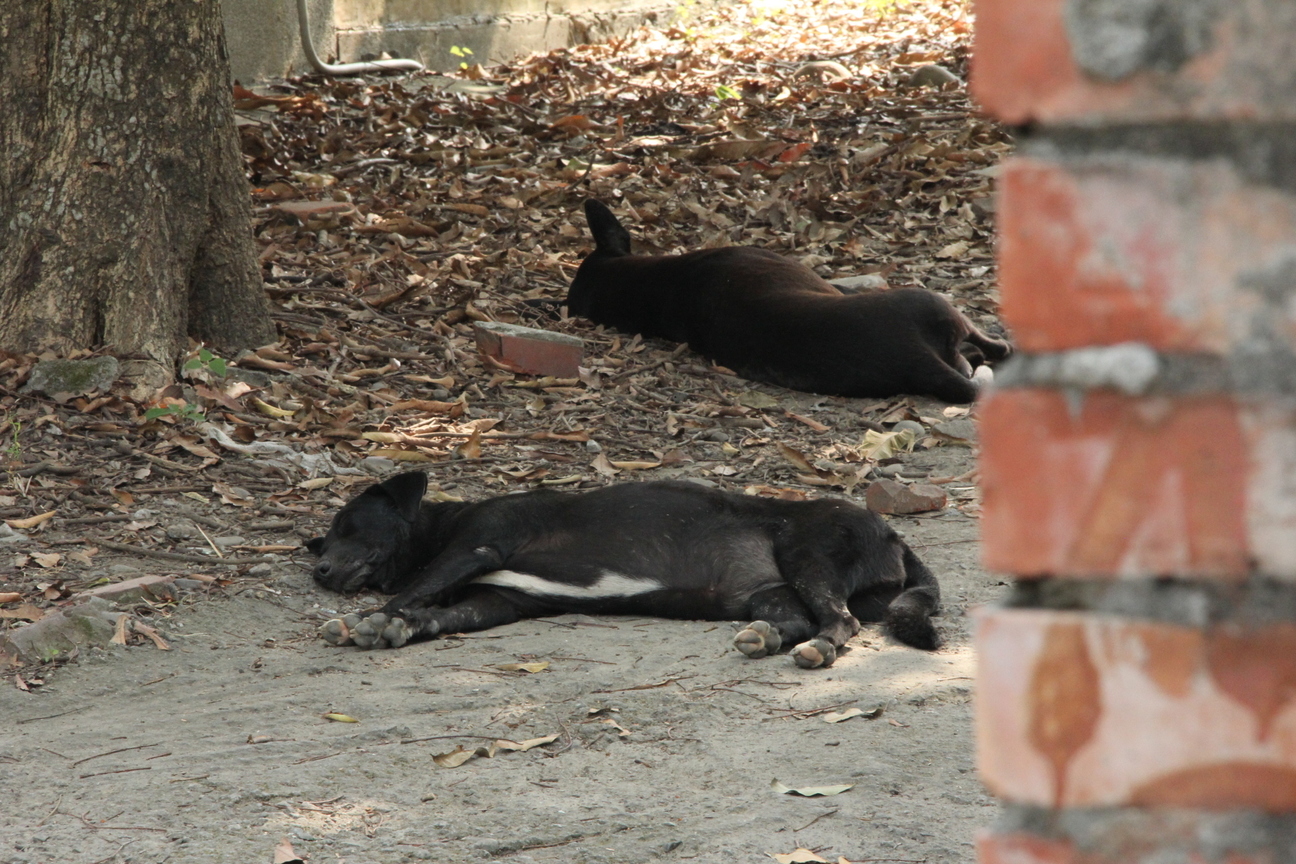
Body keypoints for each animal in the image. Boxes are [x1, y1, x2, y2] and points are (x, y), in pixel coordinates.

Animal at [311, 468, 943, 668]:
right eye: (323, 539)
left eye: (347, 524)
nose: (317, 568)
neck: (441, 524)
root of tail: (893, 534)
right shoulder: (497, 600)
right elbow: (435, 612)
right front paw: (395, 627)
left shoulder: (477, 548)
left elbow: (412, 590)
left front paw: (368, 620)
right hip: (767, 591)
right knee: (795, 617)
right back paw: (766, 638)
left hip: (807, 554)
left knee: (840, 622)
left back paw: (818, 650)